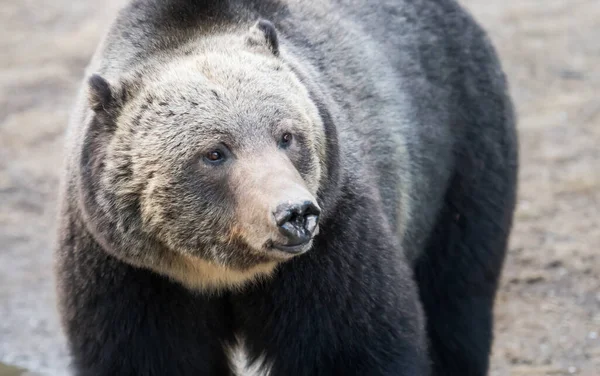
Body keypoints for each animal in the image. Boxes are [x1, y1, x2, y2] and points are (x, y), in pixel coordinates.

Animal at [54, 0, 516, 376]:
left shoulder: (333, 243)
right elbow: (145, 355)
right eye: (215, 153)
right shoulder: (131, 273)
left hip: (463, 152)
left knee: (458, 295)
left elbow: (354, 343)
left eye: (287, 135)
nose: (295, 214)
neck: (222, 273)